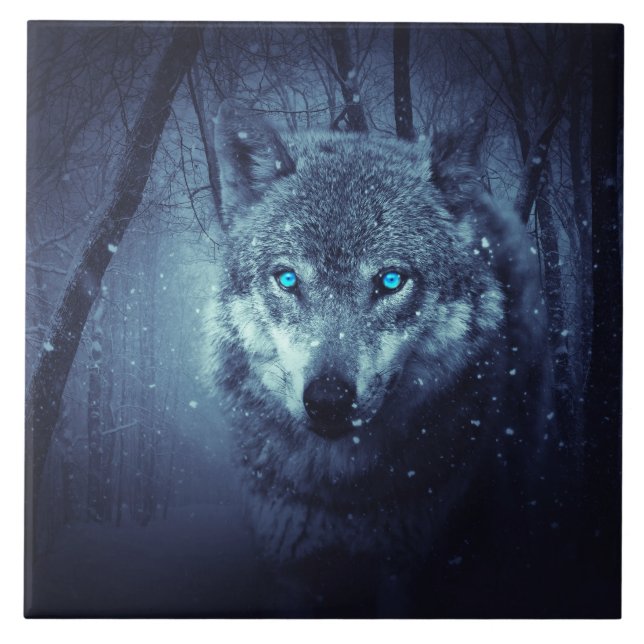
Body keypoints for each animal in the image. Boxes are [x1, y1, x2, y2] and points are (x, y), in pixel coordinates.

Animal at [204, 100, 548, 615]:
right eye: (287, 280)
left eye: (390, 281)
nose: (328, 400)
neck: (342, 496)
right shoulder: (289, 570)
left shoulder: (405, 572)